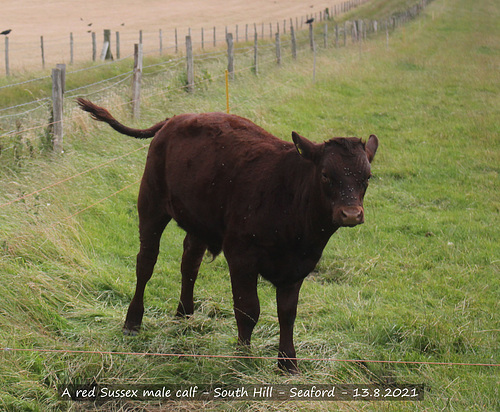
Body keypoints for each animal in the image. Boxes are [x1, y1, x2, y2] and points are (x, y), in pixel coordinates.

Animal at [76, 99, 376, 374]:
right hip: (151, 204)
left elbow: (287, 314)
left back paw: (185, 313)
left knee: (189, 263)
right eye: (326, 174)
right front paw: (243, 358)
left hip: (197, 221)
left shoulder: (298, 267)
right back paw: (133, 322)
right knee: (146, 263)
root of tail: (175, 119)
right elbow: (248, 309)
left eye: (367, 177)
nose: (351, 214)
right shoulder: (241, 256)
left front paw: (288, 363)